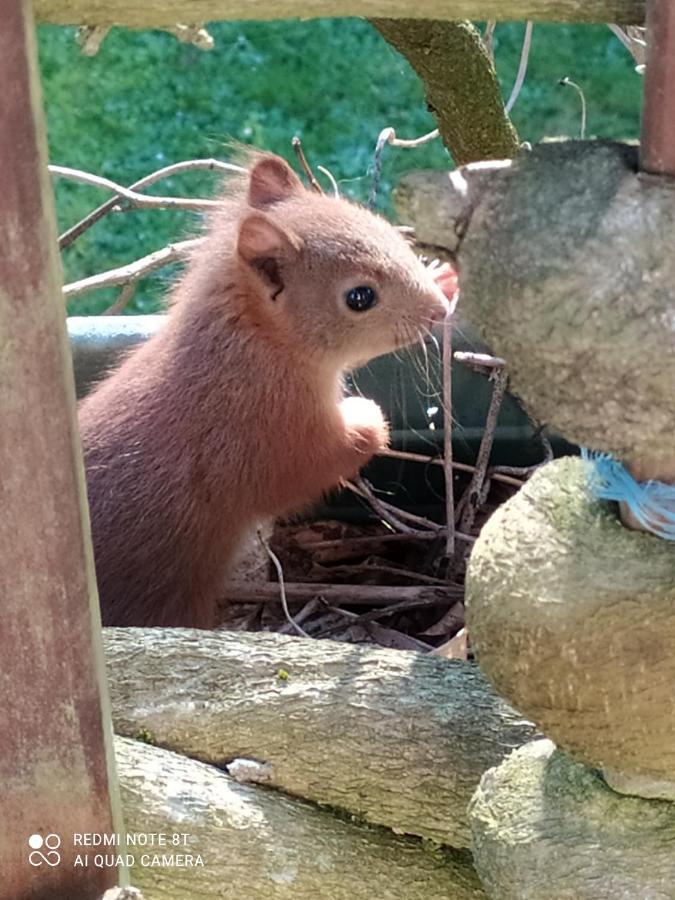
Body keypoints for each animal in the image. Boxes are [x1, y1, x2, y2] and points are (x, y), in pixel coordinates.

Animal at [80, 153, 460, 624]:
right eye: (360, 297)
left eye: (388, 230)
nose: (438, 311)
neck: (255, 346)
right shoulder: (269, 433)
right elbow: (312, 466)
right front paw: (368, 418)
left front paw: (447, 276)